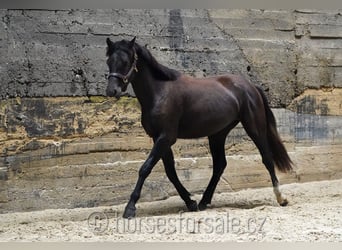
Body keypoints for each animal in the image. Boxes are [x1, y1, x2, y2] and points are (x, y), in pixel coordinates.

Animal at [105, 36, 292, 218]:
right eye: (109, 61)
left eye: (126, 61)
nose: (111, 91)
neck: (160, 92)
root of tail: (251, 86)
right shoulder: (159, 138)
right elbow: (170, 172)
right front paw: (190, 202)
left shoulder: (166, 137)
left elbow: (145, 168)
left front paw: (130, 208)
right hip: (217, 134)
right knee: (219, 165)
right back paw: (204, 201)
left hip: (254, 128)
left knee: (266, 158)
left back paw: (281, 198)